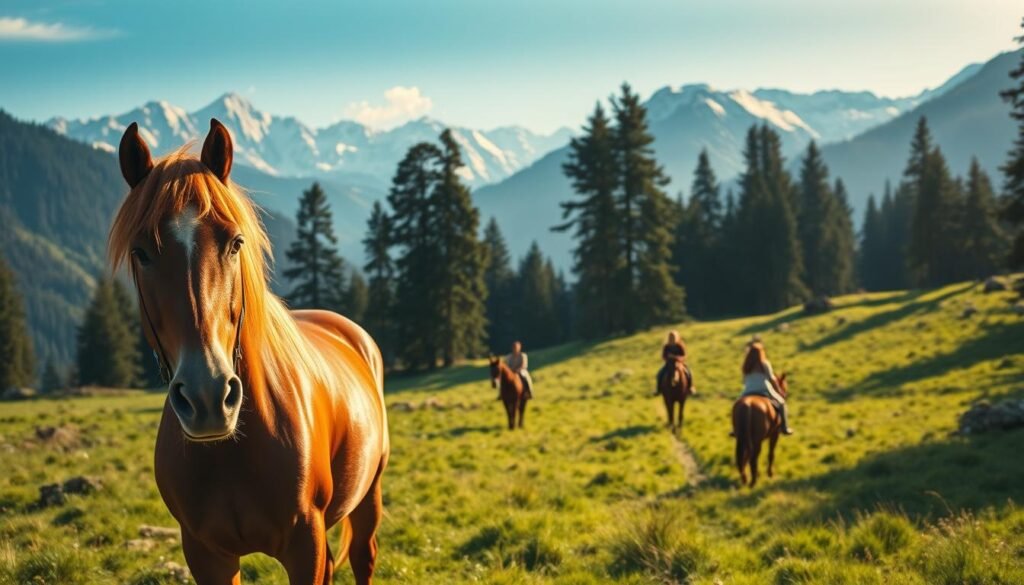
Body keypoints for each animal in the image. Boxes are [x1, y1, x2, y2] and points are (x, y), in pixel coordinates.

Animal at [109, 120, 389, 585]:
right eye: (141, 253)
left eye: (235, 243)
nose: (207, 397)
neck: (235, 451)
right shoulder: (206, 555)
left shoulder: (305, 547)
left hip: (368, 496)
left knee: (363, 557)